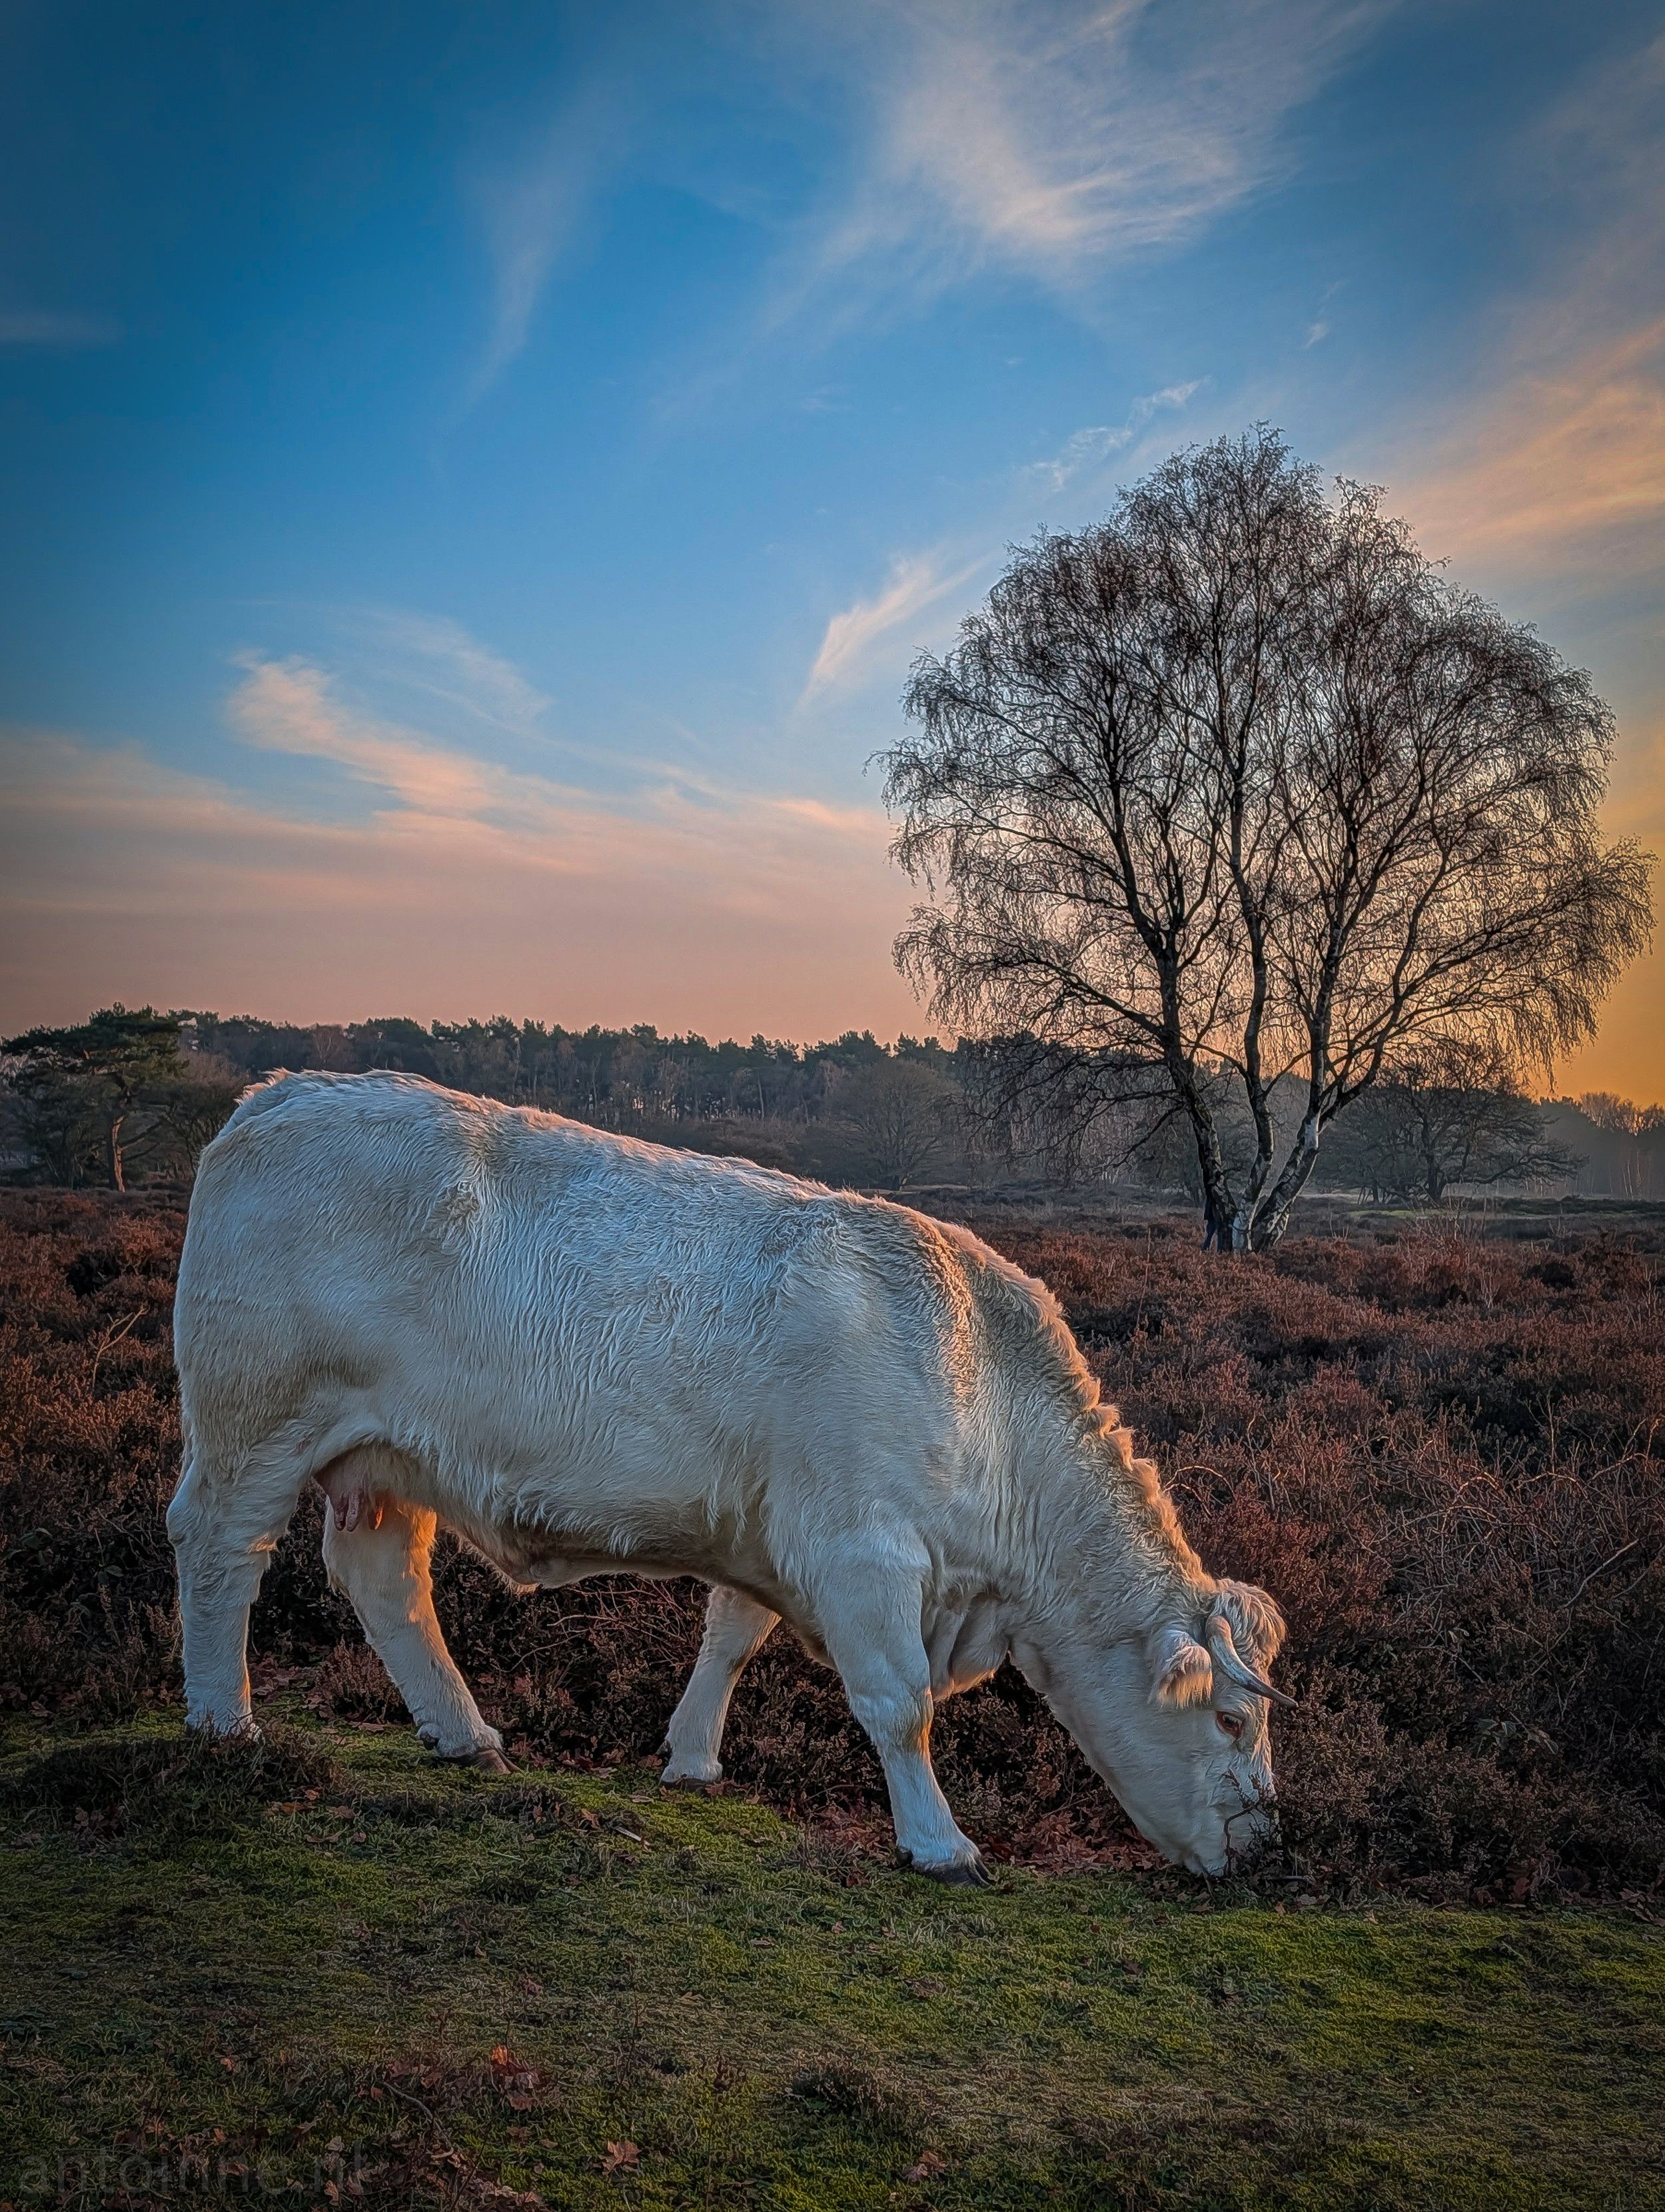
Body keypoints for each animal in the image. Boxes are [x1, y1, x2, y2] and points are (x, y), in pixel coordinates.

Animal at [166, 1070, 1289, 1881]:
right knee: (221, 1547)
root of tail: (281, 1091)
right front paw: (939, 1841)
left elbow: (730, 1636)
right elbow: (898, 1702)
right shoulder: (862, 1549)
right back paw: (224, 1721)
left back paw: (464, 1730)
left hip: (386, 1460)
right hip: (253, 1418)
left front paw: (693, 1757)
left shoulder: (776, 1528)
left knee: (387, 1582)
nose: (1265, 1840)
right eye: (1229, 1718)